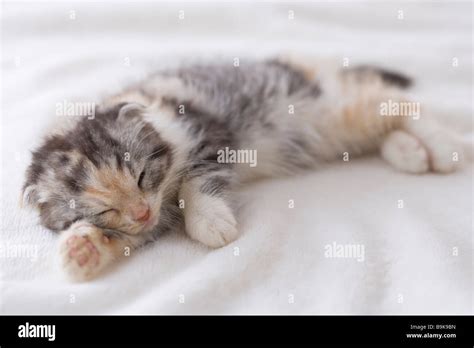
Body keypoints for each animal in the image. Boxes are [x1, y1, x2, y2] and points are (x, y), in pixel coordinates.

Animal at [21, 56, 462, 280]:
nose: (141, 211)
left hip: (330, 109)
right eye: (104, 210)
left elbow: (197, 182)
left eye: (143, 176)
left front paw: (210, 223)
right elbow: (134, 235)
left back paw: (446, 148)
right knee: (382, 121)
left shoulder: (211, 138)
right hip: (335, 129)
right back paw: (409, 153)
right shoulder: (152, 219)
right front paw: (82, 248)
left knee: (399, 103)